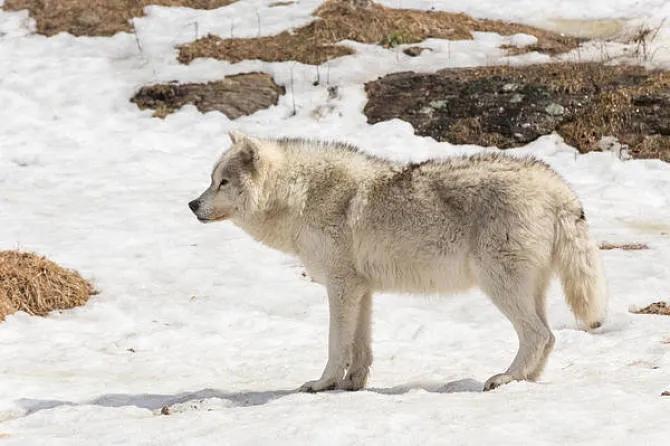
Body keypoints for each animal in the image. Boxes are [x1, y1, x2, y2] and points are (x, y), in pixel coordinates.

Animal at [189, 131, 608, 392]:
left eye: (223, 182)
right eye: (211, 179)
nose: (192, 204)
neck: (302, 195)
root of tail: (558, 187)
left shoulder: (340, 287)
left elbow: (335, 346)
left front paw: (322, 384)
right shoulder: (361, 290)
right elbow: (359, 348)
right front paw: (350, 385)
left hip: (499, 286)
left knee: (539, 335)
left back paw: (504, 379)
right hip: (526, 289)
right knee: (548, 337)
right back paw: (524, 381)